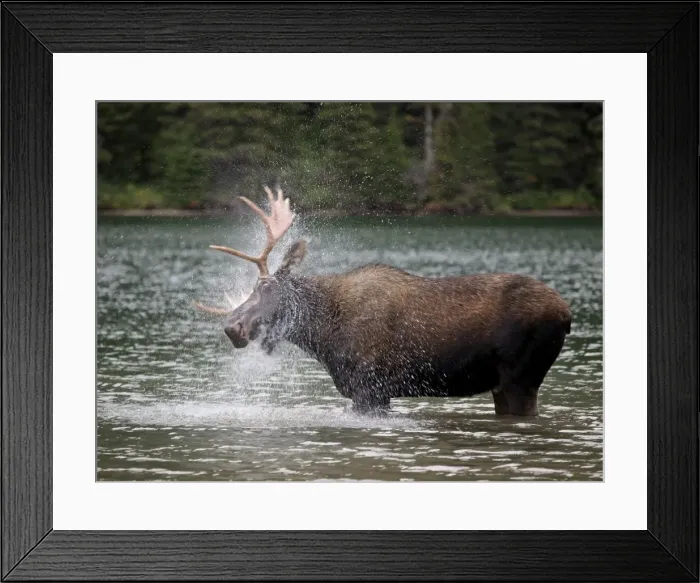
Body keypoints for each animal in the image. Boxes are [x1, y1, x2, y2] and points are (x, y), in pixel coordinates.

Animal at [195, 187, 572, 416]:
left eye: (269, 288)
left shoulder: (370, 388)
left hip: (520, 377)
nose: (232, 326)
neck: (323, 336)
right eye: (251, 290)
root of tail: (567, 315)